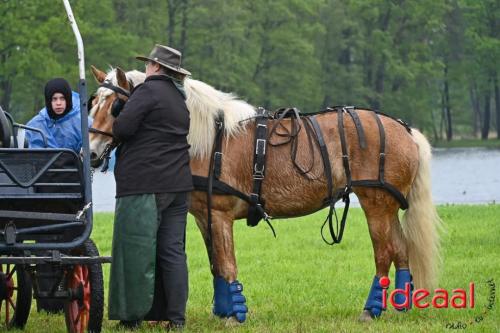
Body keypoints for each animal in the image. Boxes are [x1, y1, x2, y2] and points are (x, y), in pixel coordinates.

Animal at [89, 65, 442, 322]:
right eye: (93, 103)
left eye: (116, 106)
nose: (91, 152)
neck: (208, 140)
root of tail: (406, 130)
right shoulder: (204, 215)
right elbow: (216, 265)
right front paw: (224, 310)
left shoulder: (220, 214)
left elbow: (227, 264)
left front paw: (235, 315)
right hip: (387, 205)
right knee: (401, 251)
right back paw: (400, 304)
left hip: (375, 202)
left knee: (385, 253)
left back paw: (372, 309)